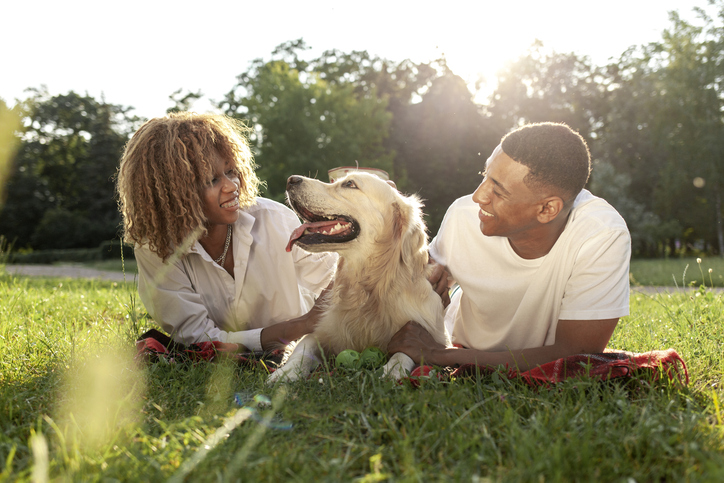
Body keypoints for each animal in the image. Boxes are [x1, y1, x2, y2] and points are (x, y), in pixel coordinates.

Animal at [266, 172, 446, 384]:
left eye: (350, 184)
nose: (291, 179)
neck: (367, 289)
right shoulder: (319, 330)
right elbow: (301, 351)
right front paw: (285, 373)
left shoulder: (430, 333)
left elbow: (405, 352)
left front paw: (392, 370)